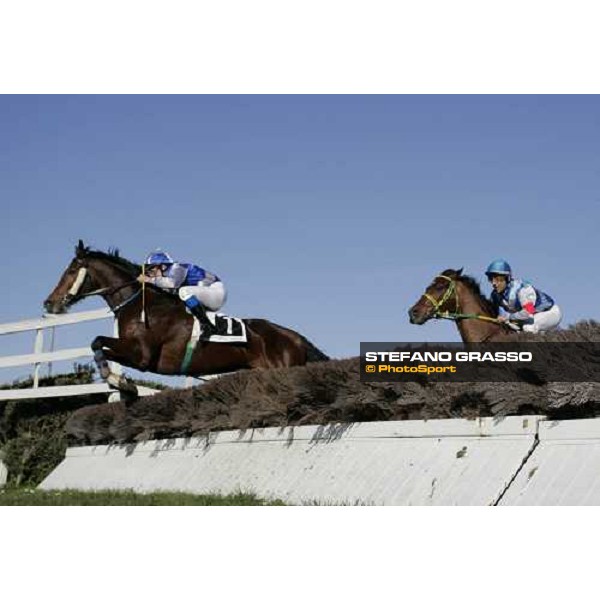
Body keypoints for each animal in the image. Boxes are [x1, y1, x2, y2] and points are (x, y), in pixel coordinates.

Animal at [45, 241, 330, 396]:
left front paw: (116, 379)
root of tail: (295, 337)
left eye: (70, 270)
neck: (141, 304)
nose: (49, 303)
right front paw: (123, 383)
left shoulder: (142, 356)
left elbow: (97, 341)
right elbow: (99, 345)